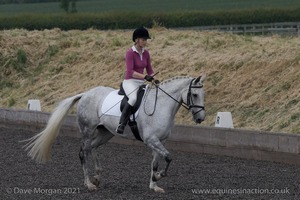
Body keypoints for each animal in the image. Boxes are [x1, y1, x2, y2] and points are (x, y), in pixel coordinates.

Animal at [24, 74, 205, 192]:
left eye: (203, 95)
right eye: (195, 95)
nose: (200, 119)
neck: (161, 105)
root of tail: (85, 94)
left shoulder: (160, 141)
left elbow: (156, 162)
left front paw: (154, 184)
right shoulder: (151, 139)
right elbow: (168, 157)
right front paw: (159, 176)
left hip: (105, 133)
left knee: (92, 148)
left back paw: (97, 177)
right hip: (87, 130)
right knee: (83, 152)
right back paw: (89, 184)